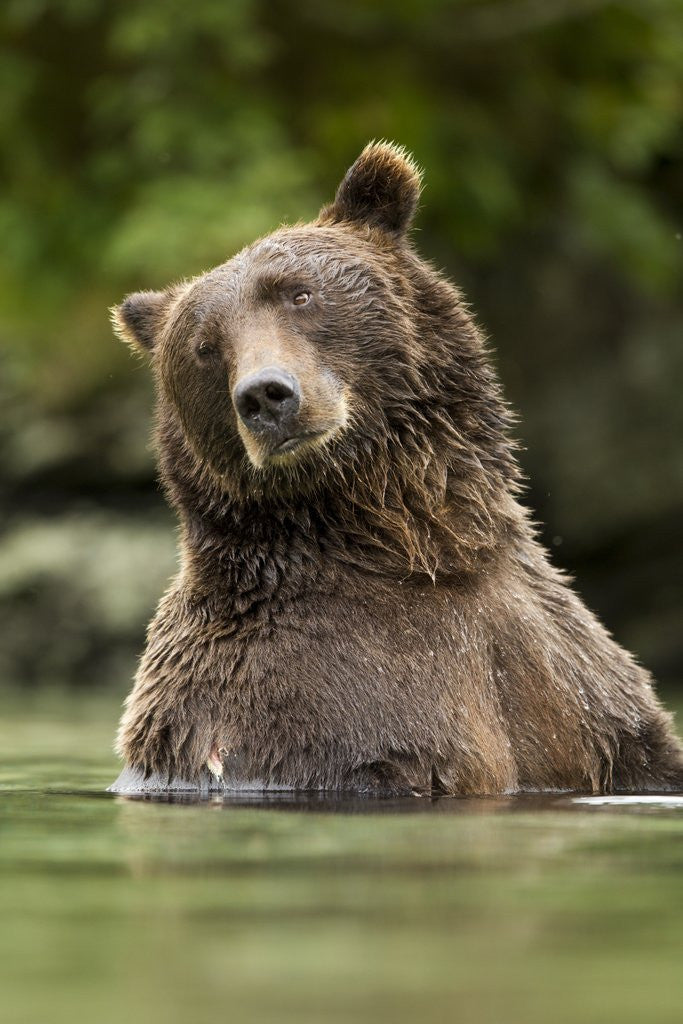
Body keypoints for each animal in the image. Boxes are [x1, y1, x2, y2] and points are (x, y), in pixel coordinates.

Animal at [108, 141, 682, 796]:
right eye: (205, 347)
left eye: (299, 293)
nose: (264, 395)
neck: (417, 549)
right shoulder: (296, 699)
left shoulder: (568, 670)